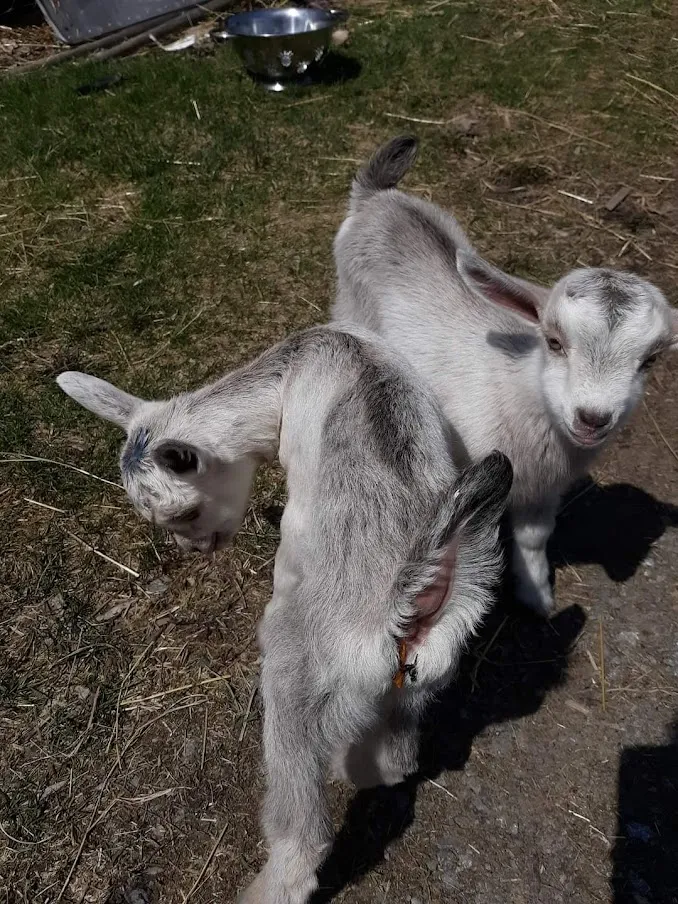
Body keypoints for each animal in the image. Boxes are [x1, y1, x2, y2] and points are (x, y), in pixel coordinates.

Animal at [57, 325, 513, 904]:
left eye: (186, 512)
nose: (194, 549)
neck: (295, 368)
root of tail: (406, 605)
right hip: (425, 675)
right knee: (399, 752)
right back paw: (363, 766)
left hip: (295, 684)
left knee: (304, 828)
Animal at [332, 136, 678, 616]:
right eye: (554, 341)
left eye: (650, 360)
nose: (592, 418)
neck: (517, 389)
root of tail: (376, 196)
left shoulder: (543, 491)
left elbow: (534, 539)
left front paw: (537, 595)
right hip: (348, 303)